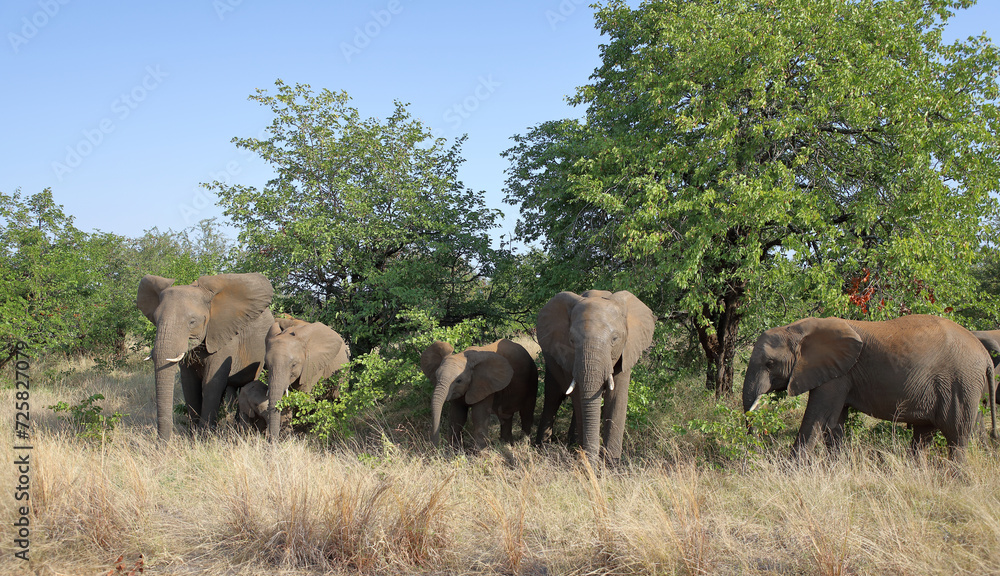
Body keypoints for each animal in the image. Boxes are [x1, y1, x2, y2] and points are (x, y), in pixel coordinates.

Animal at [136, 273, 274, 440]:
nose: (162, 443)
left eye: (192, 322)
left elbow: (212, 382)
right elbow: (189, 384)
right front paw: (193, 436)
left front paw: (204, 438)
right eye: (155, 320)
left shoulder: (224, 339)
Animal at [534, 290, 656, 464]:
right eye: (572, 340)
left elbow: (616, 398)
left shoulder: (626, 351)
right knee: (553, 398)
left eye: (615, 339)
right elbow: (579, 398)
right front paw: (586, 460)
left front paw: (611, 464)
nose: (593, 462)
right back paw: (543, 449)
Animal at [743, 315, 997, 459]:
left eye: (769, 364)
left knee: (957, 437)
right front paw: (837, 468)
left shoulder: (837, 374)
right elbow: (834, 423)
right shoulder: (840, 373)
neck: (797, 328)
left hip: (960, 383)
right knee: (923, 436)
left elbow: (816, 418)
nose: (757, 450)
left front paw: (790, 472)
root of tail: (985, 356)